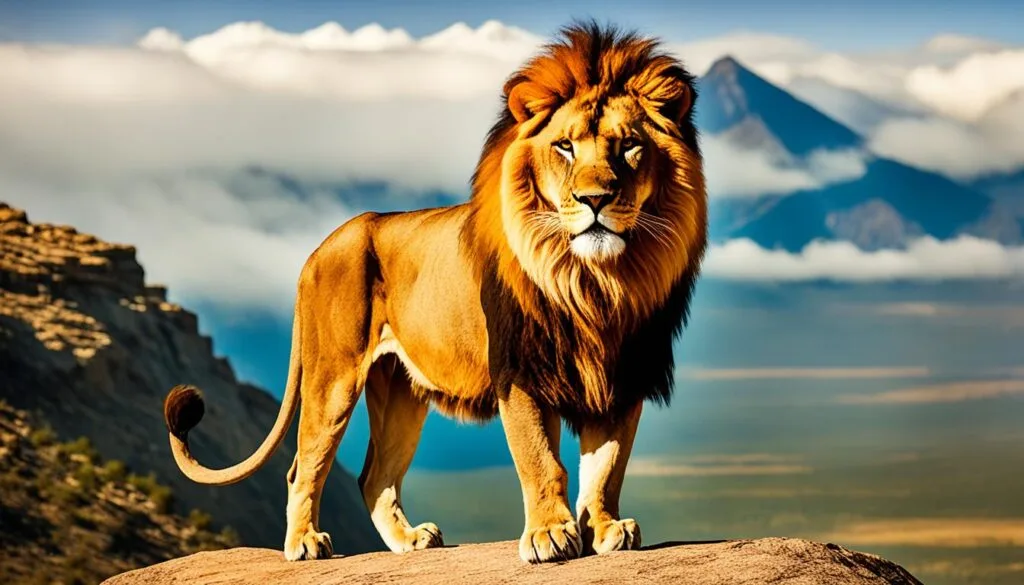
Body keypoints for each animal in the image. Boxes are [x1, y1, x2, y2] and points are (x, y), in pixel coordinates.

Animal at [163, 22, 707, 564]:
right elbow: (539, 459)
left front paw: (607, 527)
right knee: (305, 464)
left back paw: (410, 541)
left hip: (401, 390)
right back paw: (305, 543)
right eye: (565, 147)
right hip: (333, 378)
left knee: (374, 476)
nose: (595, 199)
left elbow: (607, 467)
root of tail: (320, 248)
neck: (594, 281)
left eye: (629, 146)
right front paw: (549, 534)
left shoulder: (624, 374)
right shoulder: (520, 371)